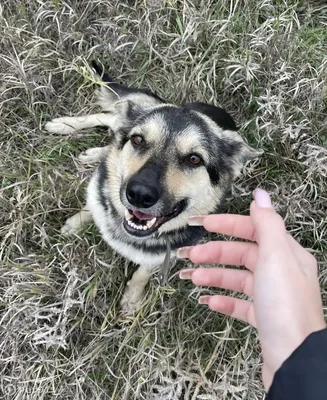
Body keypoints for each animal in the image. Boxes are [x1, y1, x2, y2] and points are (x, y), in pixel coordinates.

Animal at [44, 61, 262, 314]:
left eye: (194, 159)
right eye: (138, 140)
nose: (139, 195)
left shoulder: (166, 255)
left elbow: (143, 272)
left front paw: (132, 296)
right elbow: (91, 206)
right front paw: (76, 223)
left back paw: (95, 152)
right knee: (108, 118)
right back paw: (65, 125)